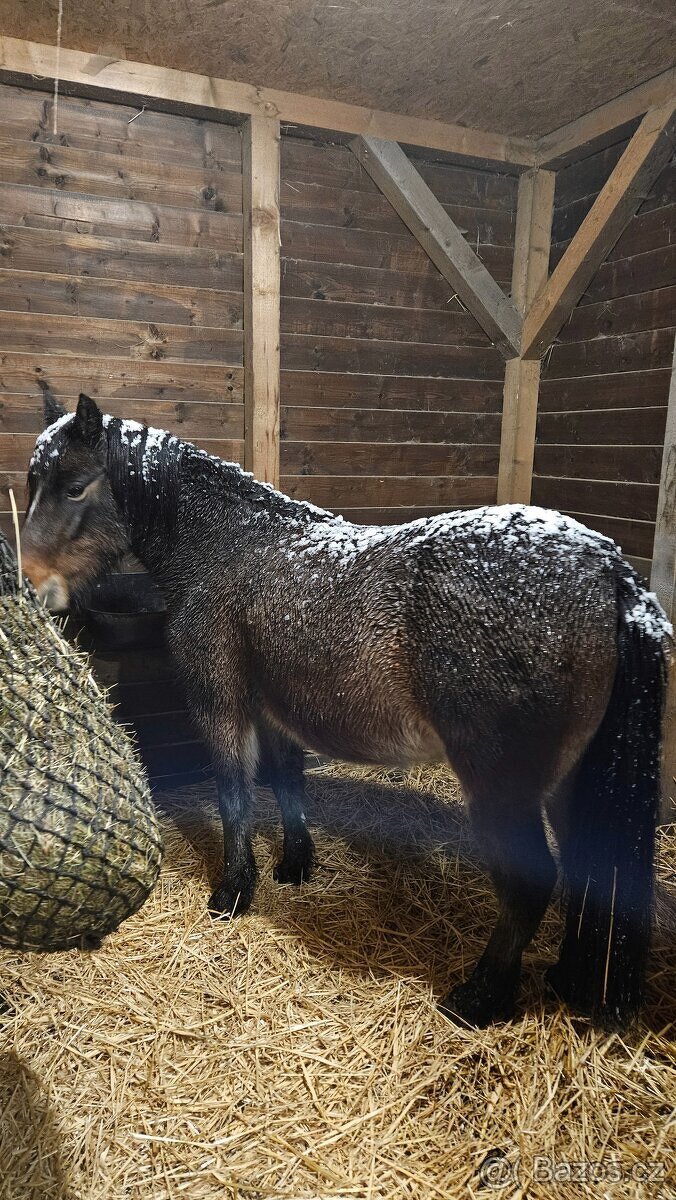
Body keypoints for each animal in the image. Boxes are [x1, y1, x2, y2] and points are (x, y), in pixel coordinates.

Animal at [20, 388, 669, 1030]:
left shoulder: (221, 701)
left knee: (531, 885)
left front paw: (233, 892)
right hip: (567, 778)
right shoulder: (273, 707)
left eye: (74, 486)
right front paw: (294, 867)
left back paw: (478, 998)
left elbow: (233, 792)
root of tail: (607, 569)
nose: (33, 585)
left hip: (501, 784)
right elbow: (286, 781)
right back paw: (562, 977)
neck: (227, 550)